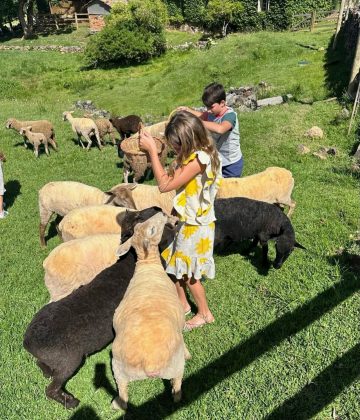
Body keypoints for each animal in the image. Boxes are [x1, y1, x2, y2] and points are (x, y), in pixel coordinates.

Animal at [112, 213, 191, 410]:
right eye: (153, 230)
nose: (162, 214)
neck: (148, 265)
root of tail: (149, 364)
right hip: (175, 366)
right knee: (177, 383)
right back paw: (178, 396)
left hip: (118, 370)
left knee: (123, 393)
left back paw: (118, 404)